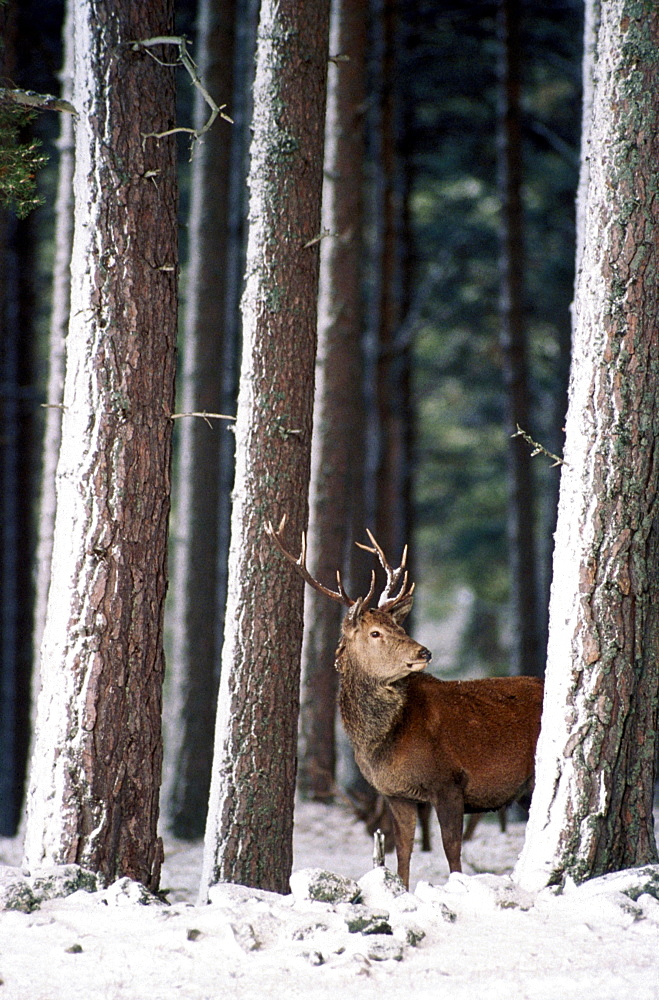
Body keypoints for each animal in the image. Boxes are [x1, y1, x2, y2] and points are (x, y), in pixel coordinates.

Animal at [266, 520, 544, 888]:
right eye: (375, 633)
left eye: (398, 625)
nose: (424, 652)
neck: (385, 743)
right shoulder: (396, 794)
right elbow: (403, 851)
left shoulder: (450, 781)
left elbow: (451, 850)